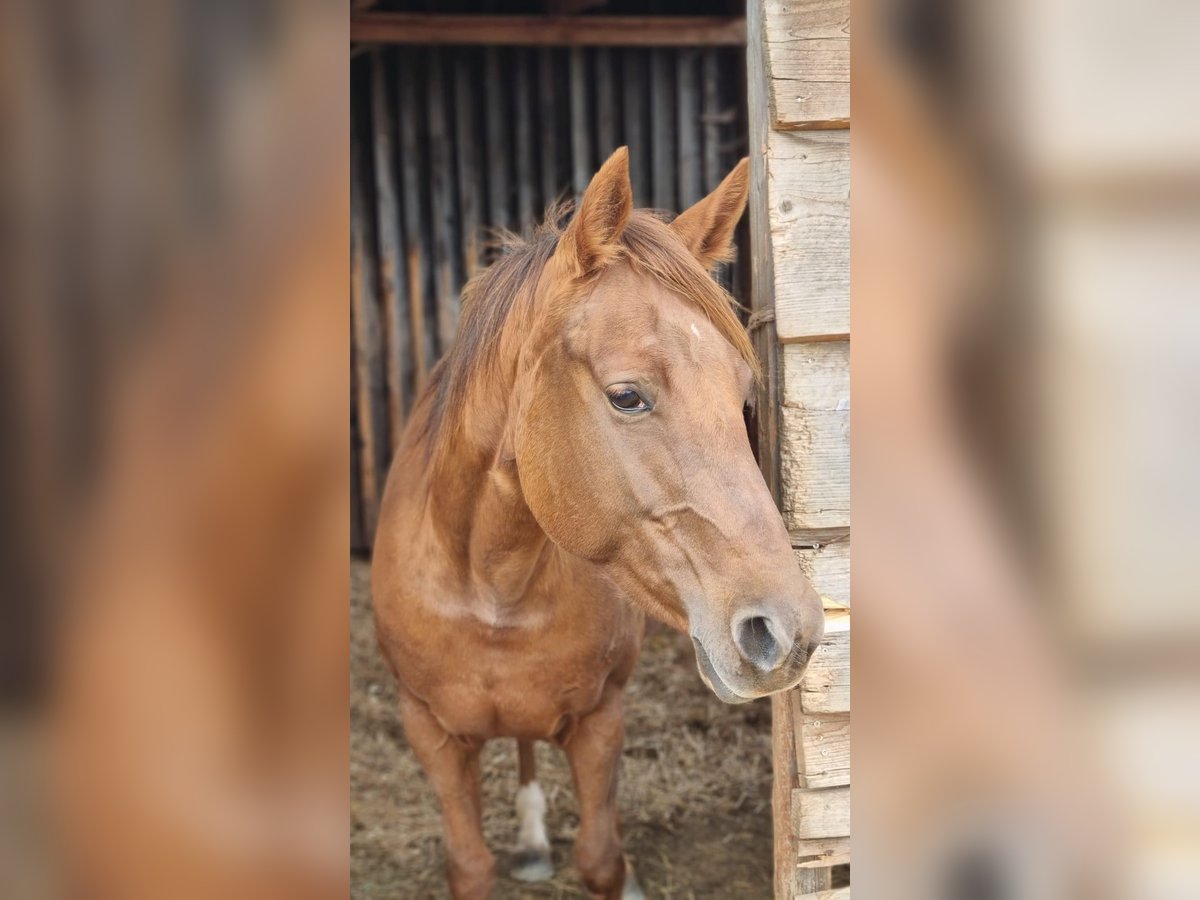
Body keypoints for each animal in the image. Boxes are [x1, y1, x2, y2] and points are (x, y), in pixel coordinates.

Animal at [374, 151, 825, 897]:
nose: (788, 634)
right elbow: (470, 867)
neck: (491, 587)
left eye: (743, 398)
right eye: (627, 396)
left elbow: (601, 860)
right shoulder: (430, 733)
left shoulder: (600, 721)